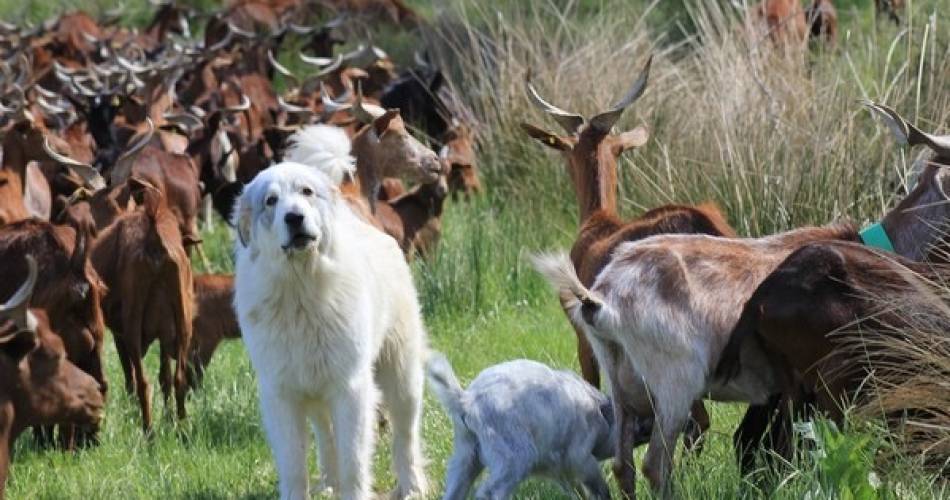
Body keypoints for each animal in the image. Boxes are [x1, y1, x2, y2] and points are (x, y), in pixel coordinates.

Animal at [92, 180, 194, 434]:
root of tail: (153, 237)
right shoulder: (166, 335)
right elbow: (165, 376)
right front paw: (168, 418)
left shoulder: (119, 333)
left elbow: (130, 376)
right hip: (183, 324)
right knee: (179, 378)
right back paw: (182, 429)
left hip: (133, 326)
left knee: (141, 382)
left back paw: (149, 432)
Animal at [236, 161, 430, 500]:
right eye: (271, 201)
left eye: (306, 192)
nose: (294, 217)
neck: (300, 291)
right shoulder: (282, 395)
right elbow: (294, 465)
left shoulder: (350, 388)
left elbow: (353, 459)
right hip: (315, 393)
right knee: (325, 438)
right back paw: (328, 485)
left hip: (401, 376)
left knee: (405, 435)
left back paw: (412, 487)